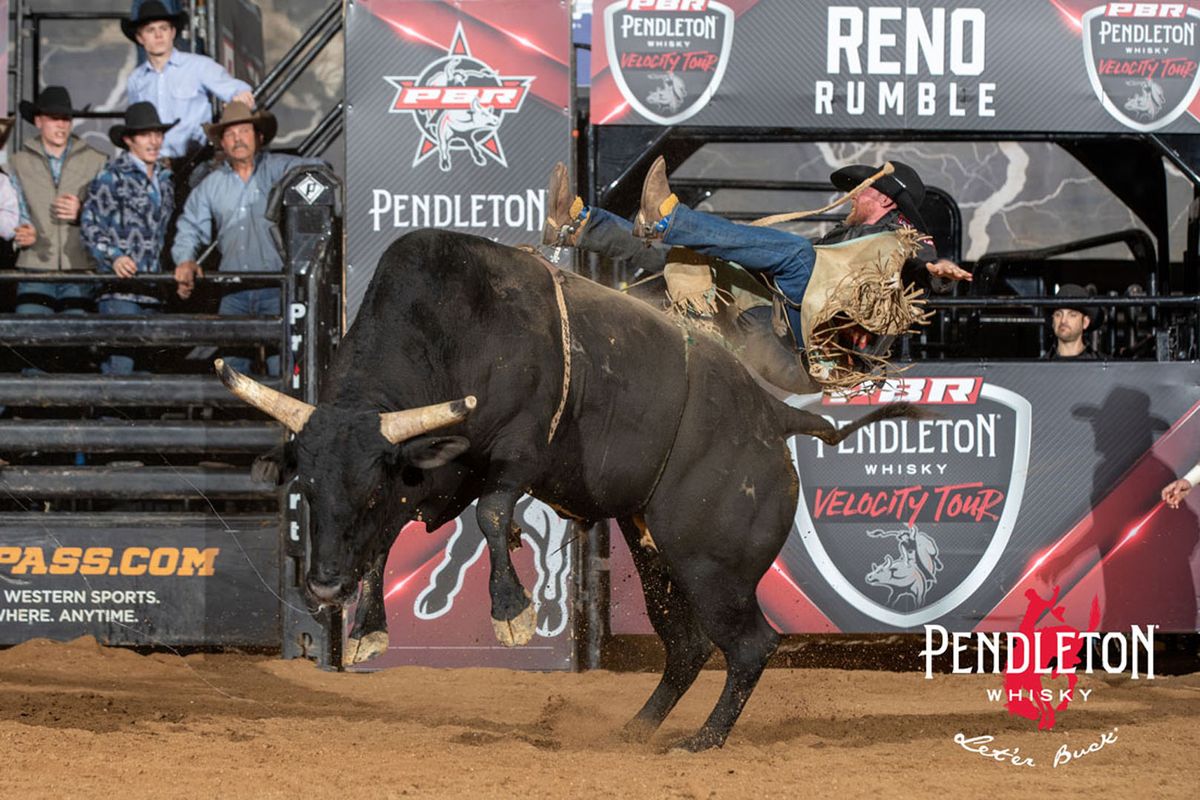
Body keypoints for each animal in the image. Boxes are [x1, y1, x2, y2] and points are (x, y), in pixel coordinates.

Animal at [223, 230, 916, 753]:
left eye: (367, 489)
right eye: (307, 490)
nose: (321, 588)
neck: (452, 329)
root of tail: (776, 415)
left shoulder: (518, 452)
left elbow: (491, 514)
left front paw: (512, 612)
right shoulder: (426, 474)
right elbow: (385, 545)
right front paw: (368, 627)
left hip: (712, 563)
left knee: (749, 644)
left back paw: (702, 741)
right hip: (658, 554)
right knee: (687, 646)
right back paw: (634, 731)